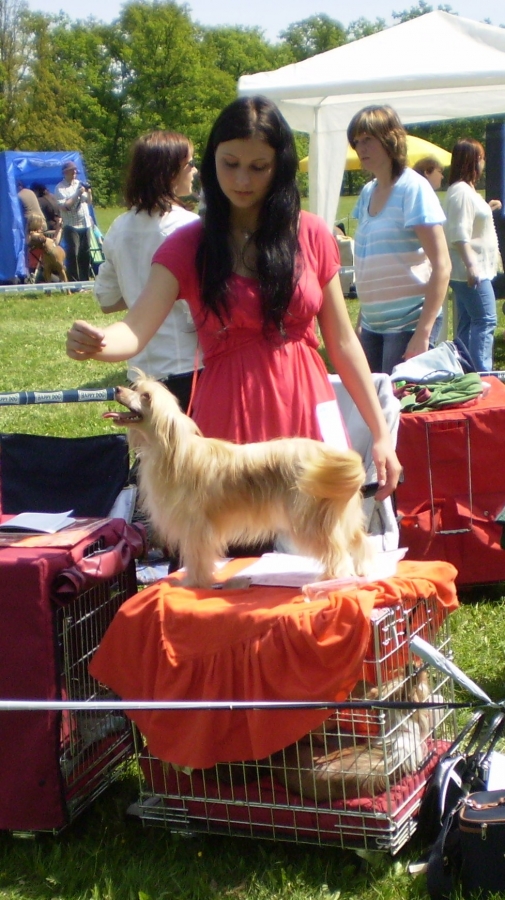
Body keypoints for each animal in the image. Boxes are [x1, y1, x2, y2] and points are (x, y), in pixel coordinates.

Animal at [103, 374, 372, 588]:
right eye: (135, 387)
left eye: (146, 396)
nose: (116, 389)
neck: (173, 450)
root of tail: (326, 454)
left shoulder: (196, 528)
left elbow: (197, 557)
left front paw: (194, 583)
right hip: (340, 516)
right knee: (358, 541)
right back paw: (361, 569)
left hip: (310, 521)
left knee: (336, 551)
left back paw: (333, 578)